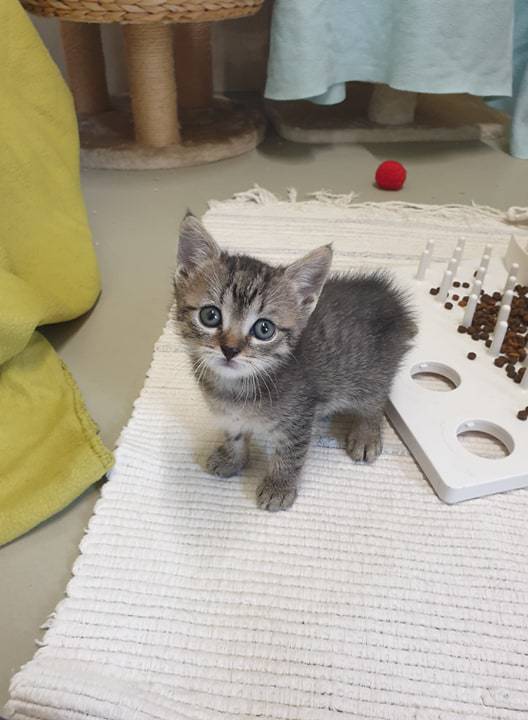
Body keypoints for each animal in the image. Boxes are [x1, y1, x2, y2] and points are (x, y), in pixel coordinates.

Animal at [173, 211, 417, 511]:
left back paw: (366, 434)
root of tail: (391, 301)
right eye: (210, 316)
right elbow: (234, 435)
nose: (229, 349)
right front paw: (232, 458)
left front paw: (278, 487)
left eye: (264, 329)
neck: (236, 388)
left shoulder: (298, 418)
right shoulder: (229, 415)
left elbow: (289, 455)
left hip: (367, 375)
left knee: (375, 401)